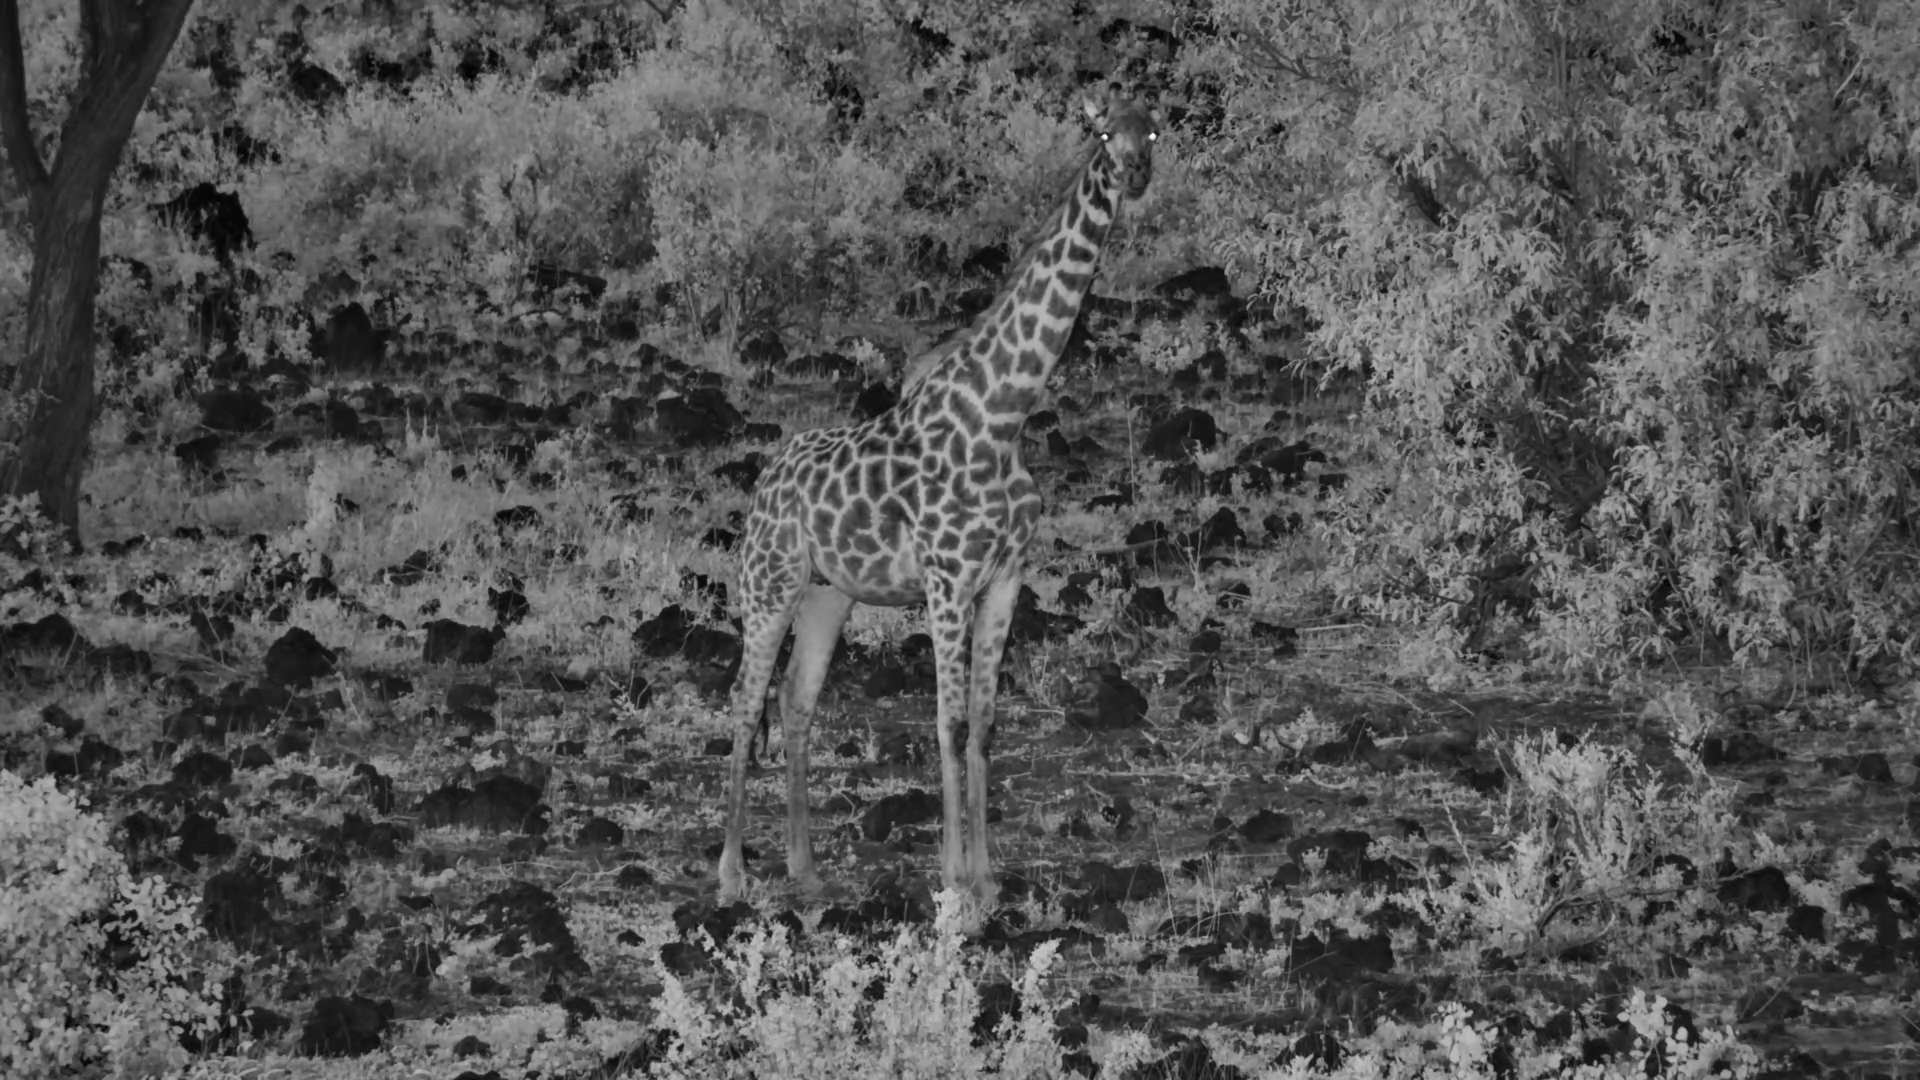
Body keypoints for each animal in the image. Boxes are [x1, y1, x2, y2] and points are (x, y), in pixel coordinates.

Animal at [718, 89, 1158, 905]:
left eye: (1152, 132)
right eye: (1105, 133)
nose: (1135, 174)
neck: (1004, 413)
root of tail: (764, 482)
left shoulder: (1004, 578)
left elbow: (983, 723)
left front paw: (985, 879)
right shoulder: (948, 580)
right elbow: (947, 723)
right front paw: (953, 882)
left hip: (829, 591)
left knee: (795, 700)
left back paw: (806, 870)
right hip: (768, 584)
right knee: (743, 700)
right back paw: (732, 873)